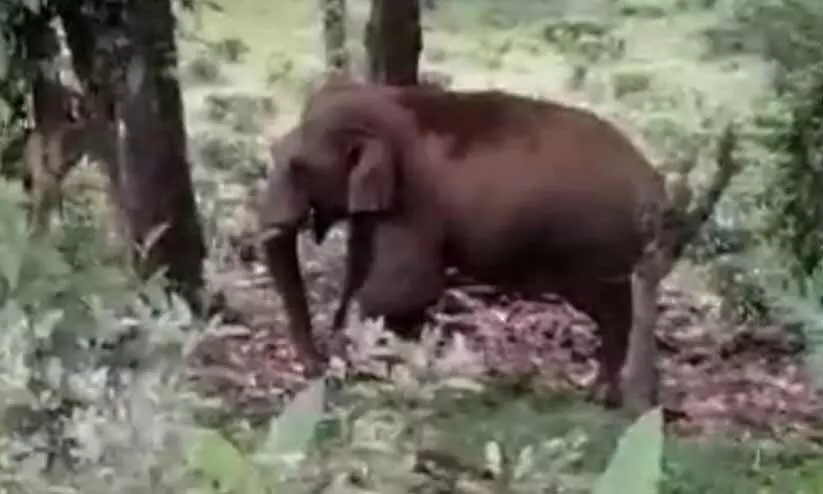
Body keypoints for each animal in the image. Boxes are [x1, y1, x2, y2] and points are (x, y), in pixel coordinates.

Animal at [258, 78, 667, 405]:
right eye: (274, 154)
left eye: (298, 167)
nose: (314, 369)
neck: (381, 99)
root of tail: (653, 177)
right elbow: (361, 270)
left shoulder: (415, 201)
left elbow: (407, 286)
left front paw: (349, 368)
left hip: (602, 243)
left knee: (613, 309)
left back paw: (604, 397)